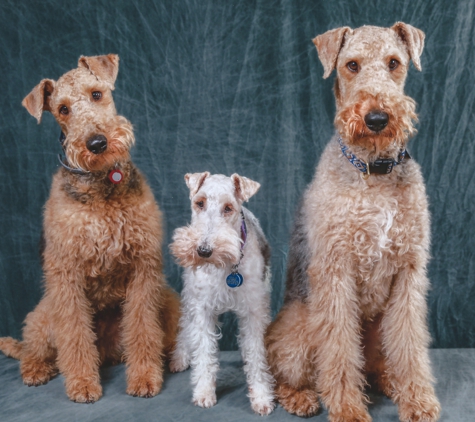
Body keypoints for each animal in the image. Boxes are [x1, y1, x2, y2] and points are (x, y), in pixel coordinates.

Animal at [170, 171, 276, 416]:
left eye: (228, 208)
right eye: (199, 203)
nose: (203, 250)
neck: (227, 268)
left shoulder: (253, 311)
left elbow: (256, 354)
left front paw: (261, 397)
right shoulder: (202, 309)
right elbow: (204, 352)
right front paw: (204, 392)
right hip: (189, 298)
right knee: (184, 327)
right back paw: (179, 358)